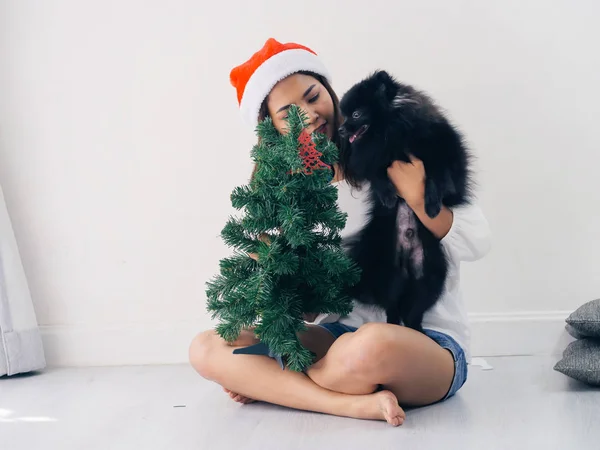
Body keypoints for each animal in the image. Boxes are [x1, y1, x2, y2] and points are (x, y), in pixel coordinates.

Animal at [340, 69, 472, 330]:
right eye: (344, 115)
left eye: (356, 114)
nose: (340, 130)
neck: (392, 135)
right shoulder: (373, 160)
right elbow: (378, 173)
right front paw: (388, 196)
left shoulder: (441, 148)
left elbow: (438, 176)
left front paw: (431, 204)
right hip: (388, 274)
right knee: (391, 307)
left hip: (431, 275)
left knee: (414, 312)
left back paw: (417, 330)